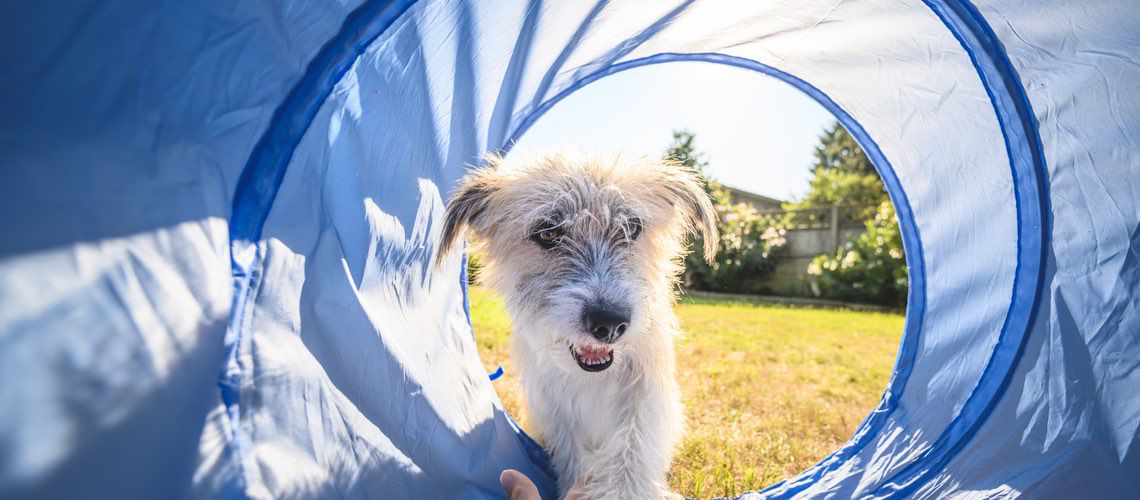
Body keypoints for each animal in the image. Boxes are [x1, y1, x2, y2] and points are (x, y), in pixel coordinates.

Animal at [437, 150, 715, 498]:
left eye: (632, 228)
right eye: (548, 232)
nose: (609, 323)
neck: (591, 377)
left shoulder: (646, 393)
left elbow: (633, 445)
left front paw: (621, 490)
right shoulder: (554, 411)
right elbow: (572, 456)